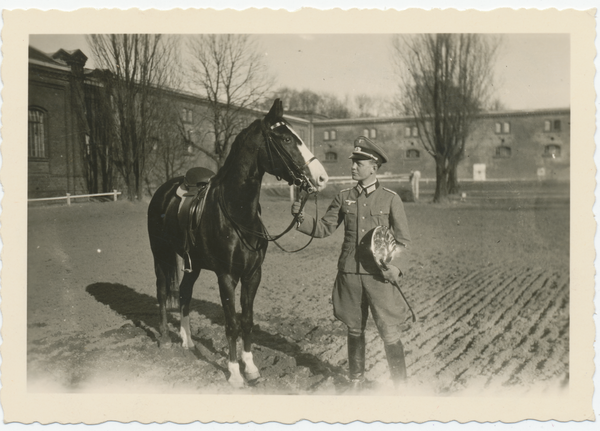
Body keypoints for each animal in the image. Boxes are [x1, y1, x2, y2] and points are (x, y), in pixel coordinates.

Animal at [148, 98, 330, 388]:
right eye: (286, 139)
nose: (322, 178)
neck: (237, 213)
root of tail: (162, 191)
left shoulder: (252, 274)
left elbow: (246, 320)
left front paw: (251, 368)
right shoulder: (226, 277)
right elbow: (231, 323)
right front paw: (234, 373)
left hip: (192, 263)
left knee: (185, 293)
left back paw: (187, 340)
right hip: (161, 254)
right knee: (163, 291)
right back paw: (166, 338)